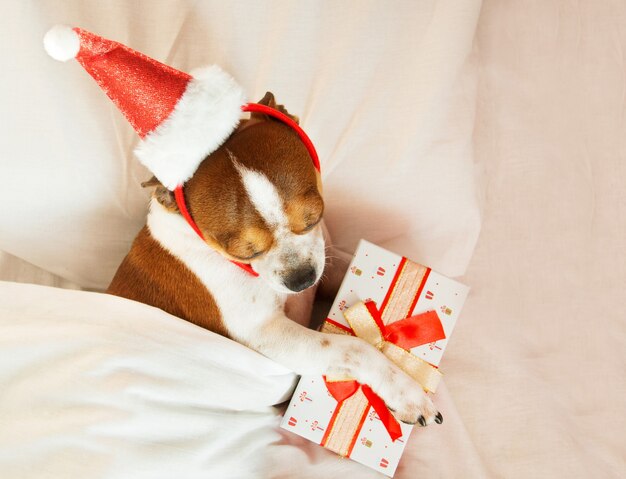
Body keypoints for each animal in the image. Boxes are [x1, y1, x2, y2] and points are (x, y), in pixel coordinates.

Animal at [106, 94, 438, 428]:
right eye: (245, 252)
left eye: (313, 218)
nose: (301, 279)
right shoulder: (268, 333)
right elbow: (353, 348)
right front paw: (405, 391)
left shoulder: (325, 263)